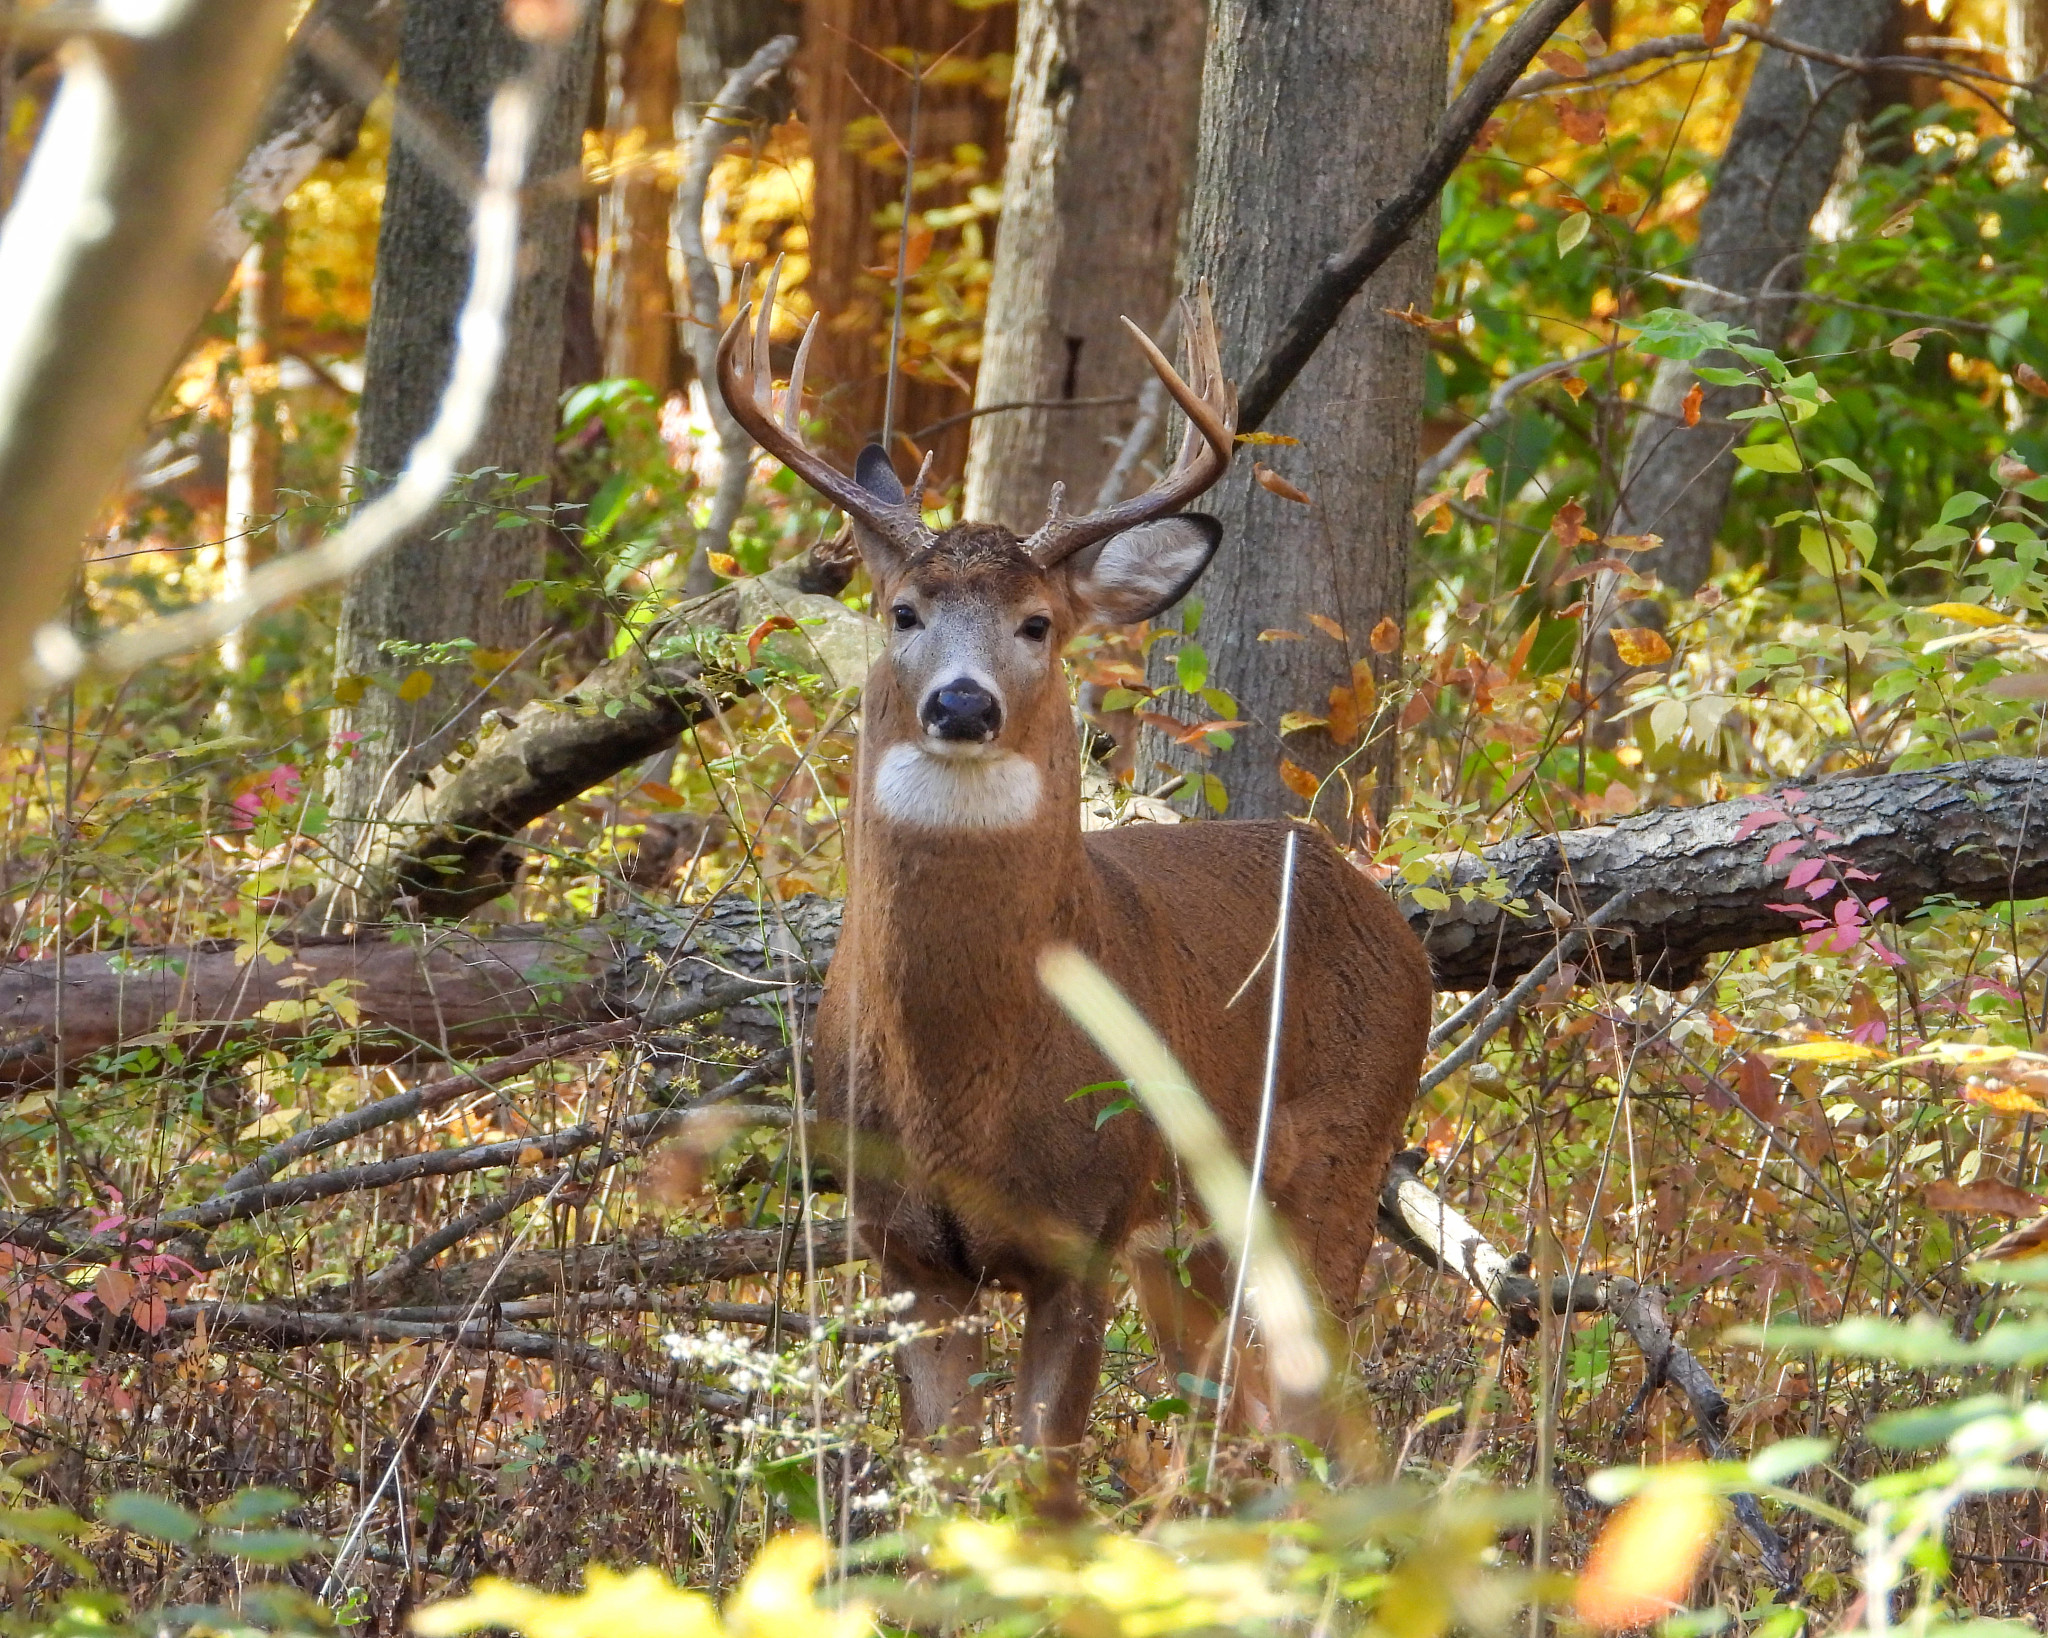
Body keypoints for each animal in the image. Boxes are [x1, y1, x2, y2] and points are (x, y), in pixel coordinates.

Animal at [720, 274, 1441, 1515]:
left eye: (1038, 623)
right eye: (903, 612)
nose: (962, 705)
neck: (966, 1079)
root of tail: (1386, 915)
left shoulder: (1088, 1231)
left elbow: (1044, 1501)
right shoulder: (904, 1253)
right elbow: (944, 1495)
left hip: (1329, 1169)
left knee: (1322, 1428)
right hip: (1192, 1245)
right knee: (1240, 1417)